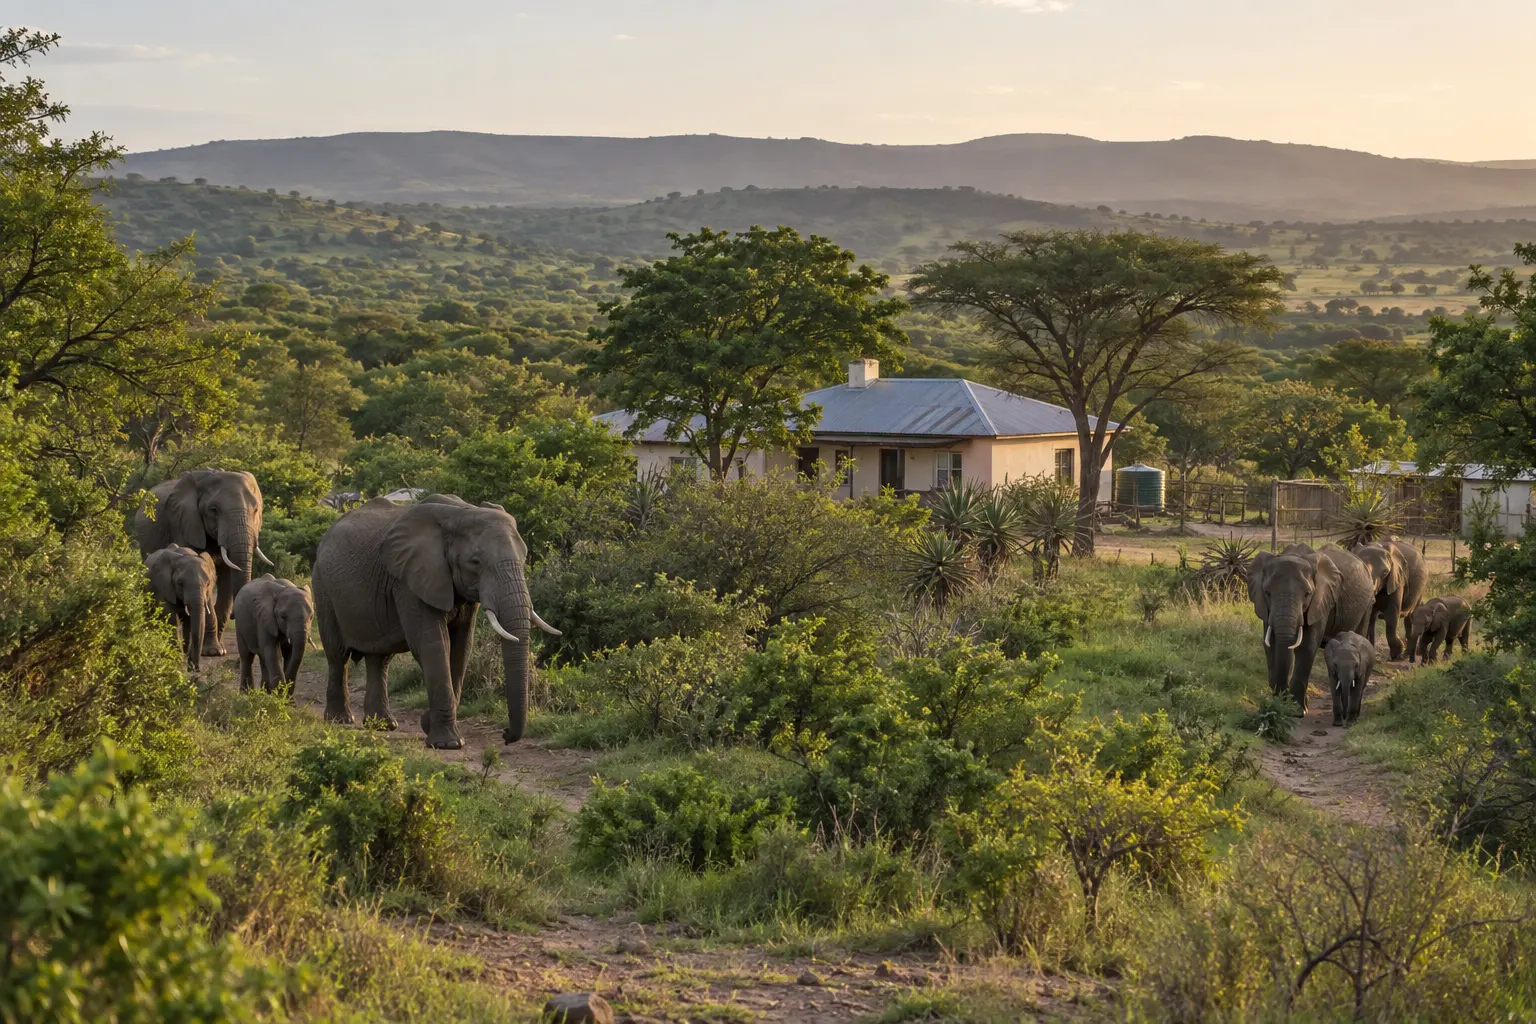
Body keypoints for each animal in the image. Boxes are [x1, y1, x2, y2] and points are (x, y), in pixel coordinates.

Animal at [135, 469, 269, 657]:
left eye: (256, 509)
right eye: (214, 510)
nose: (235, 615)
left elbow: (227, 578)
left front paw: (218, 650)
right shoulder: (185, 524)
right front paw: (212, 651)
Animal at [310, 494, 561, 749]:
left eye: (524, 558)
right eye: (475, 562)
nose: (505, 734)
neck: (460, 513)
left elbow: (462, 646)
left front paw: (429, 725)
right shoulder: (410, 581)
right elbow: (434, 644)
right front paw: (448, 744)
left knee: (379, 658)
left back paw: (383, 725)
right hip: (322, 585)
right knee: (337, 654)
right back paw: (341, 720)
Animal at [1249, 543, 1374, 711]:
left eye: (1307, 594)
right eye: (1268, 593)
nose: (1281, 700)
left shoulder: (1321, 600)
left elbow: (1307, 646)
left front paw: (1297, 711)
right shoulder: (1265, 607)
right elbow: (1270, 645)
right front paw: (1278, 706)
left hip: (1367, 604)